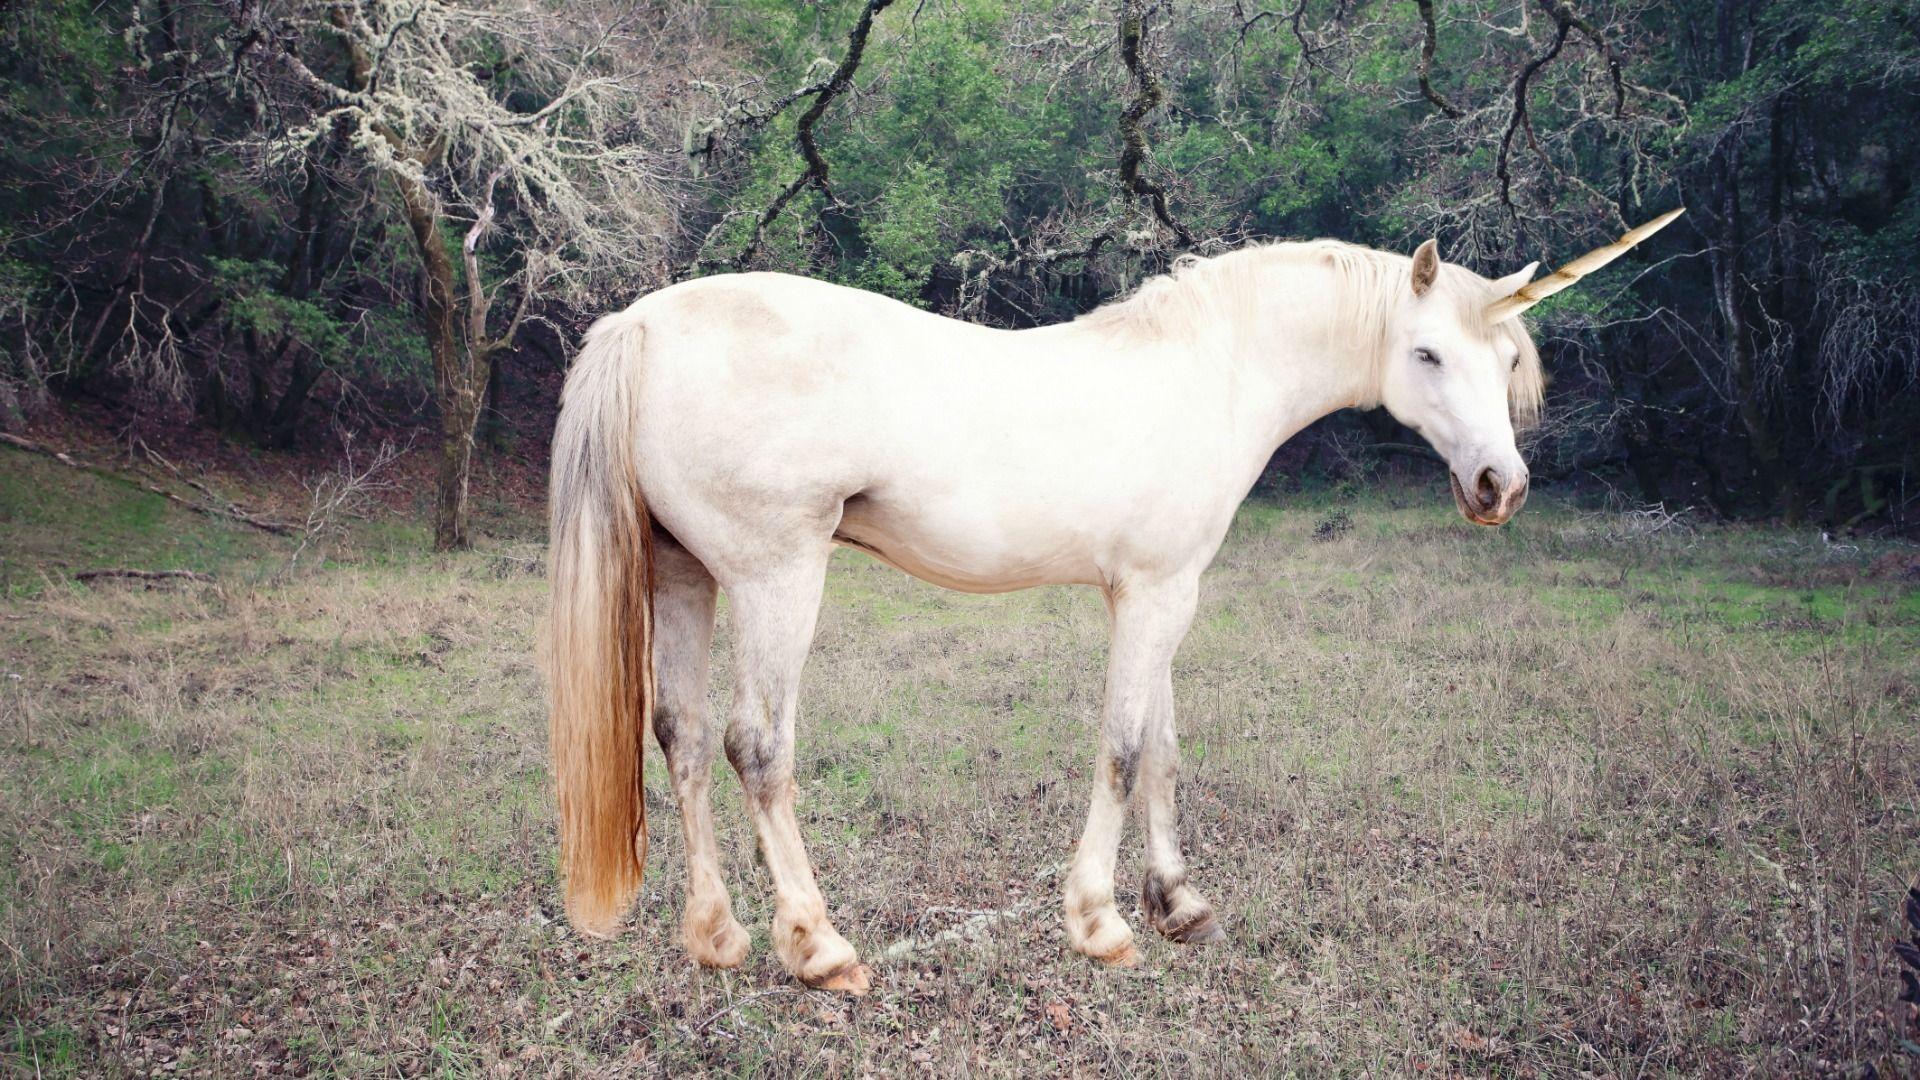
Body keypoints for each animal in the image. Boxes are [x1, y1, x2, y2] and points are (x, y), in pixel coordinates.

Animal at [541, 212, 1681, 991]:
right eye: (1429, 353)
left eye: (1506, 357)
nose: (1500, 486)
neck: (1209, 373)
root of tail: (641, 324)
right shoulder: (1152, 594)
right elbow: (1126, 751)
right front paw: (1099, 922)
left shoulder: (1163, 595)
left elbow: (1164, 747)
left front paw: (1179, 903)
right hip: (779, 579)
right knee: (756, 748)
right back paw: (819, 947)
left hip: (685, 576)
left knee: (683, 738)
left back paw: (716, 936)